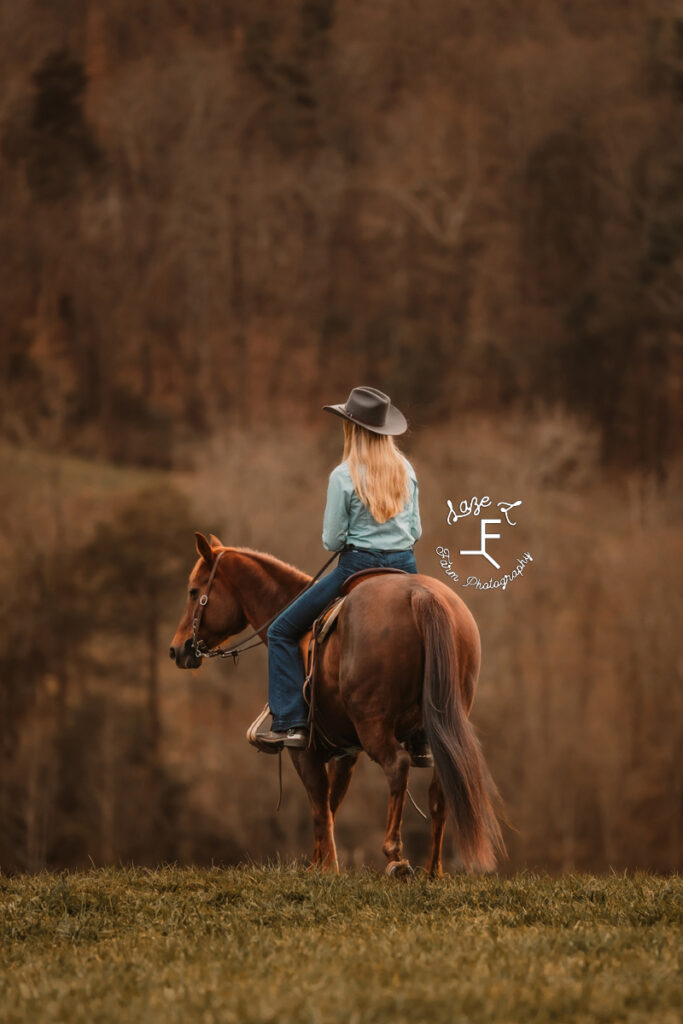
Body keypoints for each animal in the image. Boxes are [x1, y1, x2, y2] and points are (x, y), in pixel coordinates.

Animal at [167, 532, 505, 876]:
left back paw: (395, 856)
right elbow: (332, 803)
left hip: (373, 726)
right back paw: (433, 870)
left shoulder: (303, 749)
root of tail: (420, 595)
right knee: (443, 783)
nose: (178, 649)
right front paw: (319, 863)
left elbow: (319, 804)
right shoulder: (347, 752)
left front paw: (327, 867)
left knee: (397, 765)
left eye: (194, 591)